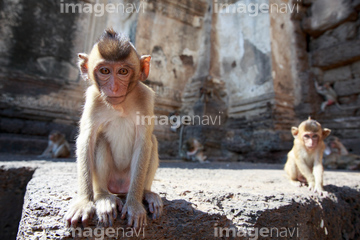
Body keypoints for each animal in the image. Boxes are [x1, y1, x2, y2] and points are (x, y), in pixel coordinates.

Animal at [64, 29, 163, 230]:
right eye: (105, 71)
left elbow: (144, 142)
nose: (114, 87)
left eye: (123, 71)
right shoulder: (93, 98)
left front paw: (134, 205)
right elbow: (87, 139)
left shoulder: (146, 98)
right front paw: (83, 202)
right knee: (100, 140)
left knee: (152, 141)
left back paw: (146, 193)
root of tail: (119, 188)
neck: (120, 105)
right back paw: (103, 198)